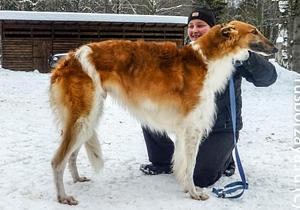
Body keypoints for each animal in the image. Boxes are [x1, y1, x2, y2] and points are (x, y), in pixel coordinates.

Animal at [48, 20, 276, 204]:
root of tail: (68, 58)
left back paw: (77, 179)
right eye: (254, 31)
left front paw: (187, 188)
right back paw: (63, 197)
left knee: (71, 155)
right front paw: (194, 193)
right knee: (57, 160)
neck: (207, 60)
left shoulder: (186, 130)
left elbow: (183, 163)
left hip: (89, 117)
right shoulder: (192, 127)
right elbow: (191, 165)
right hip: (83, 118)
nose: (274, 47)